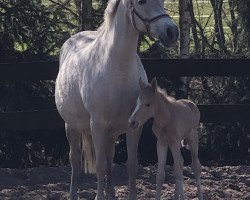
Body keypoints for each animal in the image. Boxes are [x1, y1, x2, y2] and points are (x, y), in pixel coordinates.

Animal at [55, 0, 179, 198]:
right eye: (141, 2)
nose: (172, 32)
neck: (118, 67)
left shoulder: (135, 125)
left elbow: (131, 165)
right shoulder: (97, 126)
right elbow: (99, 166)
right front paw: (99, 196)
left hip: (111, 134)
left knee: (109, 160)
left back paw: (111, 194)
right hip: (72, 127)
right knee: (75, 161)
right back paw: (73, 194)